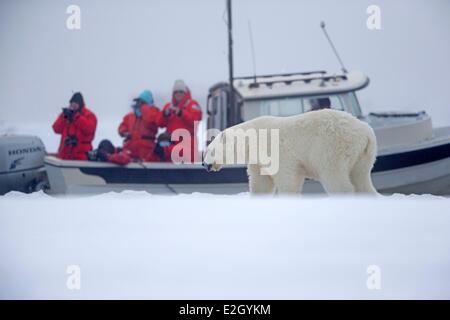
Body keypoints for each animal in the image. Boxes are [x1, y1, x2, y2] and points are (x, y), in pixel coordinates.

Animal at [202, 109, 378, 195]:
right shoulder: (257, 160)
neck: (253, 138)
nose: (204, 164)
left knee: (335, 176)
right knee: (361, 179)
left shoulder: (278, 151)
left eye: (210, 150)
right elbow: (261, 183)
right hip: (363, 156)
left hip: (332, 147)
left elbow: (287, 178)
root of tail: (366, 133)